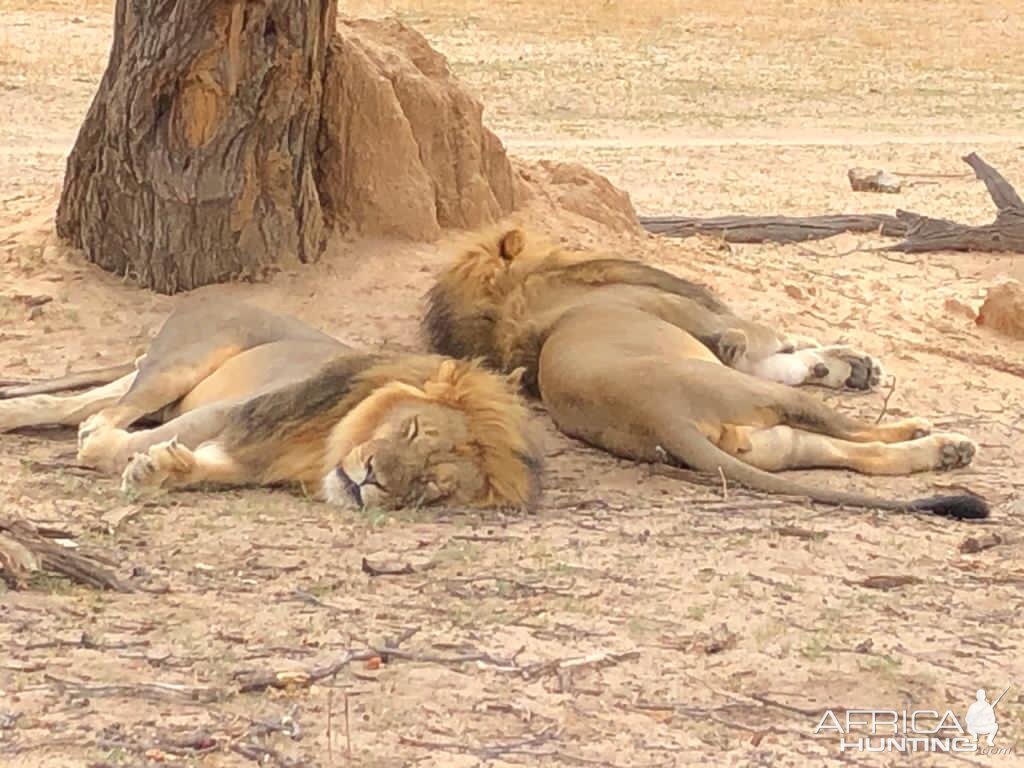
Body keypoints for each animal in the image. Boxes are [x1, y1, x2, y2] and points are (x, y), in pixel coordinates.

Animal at [0, 303, 540, 514]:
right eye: (410, 429)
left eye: (433, 485)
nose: (371, 479)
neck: (327, 445)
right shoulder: (238, 411)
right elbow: (114, 445)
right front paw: (126, 456)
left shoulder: (253, 462)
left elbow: (206, 467)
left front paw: (163, 468)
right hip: (178, 366)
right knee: (105, 413)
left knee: (70, 404)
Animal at [423, 225, 983, 520]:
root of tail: (659, 417)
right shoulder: (722, 330)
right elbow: (781, 343)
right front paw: (849, 364)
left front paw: (849, 365)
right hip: (761, 398)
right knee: (862, 432)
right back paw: (931, 433)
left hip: (775, 444)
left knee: (864, 457)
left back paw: (947, 451)